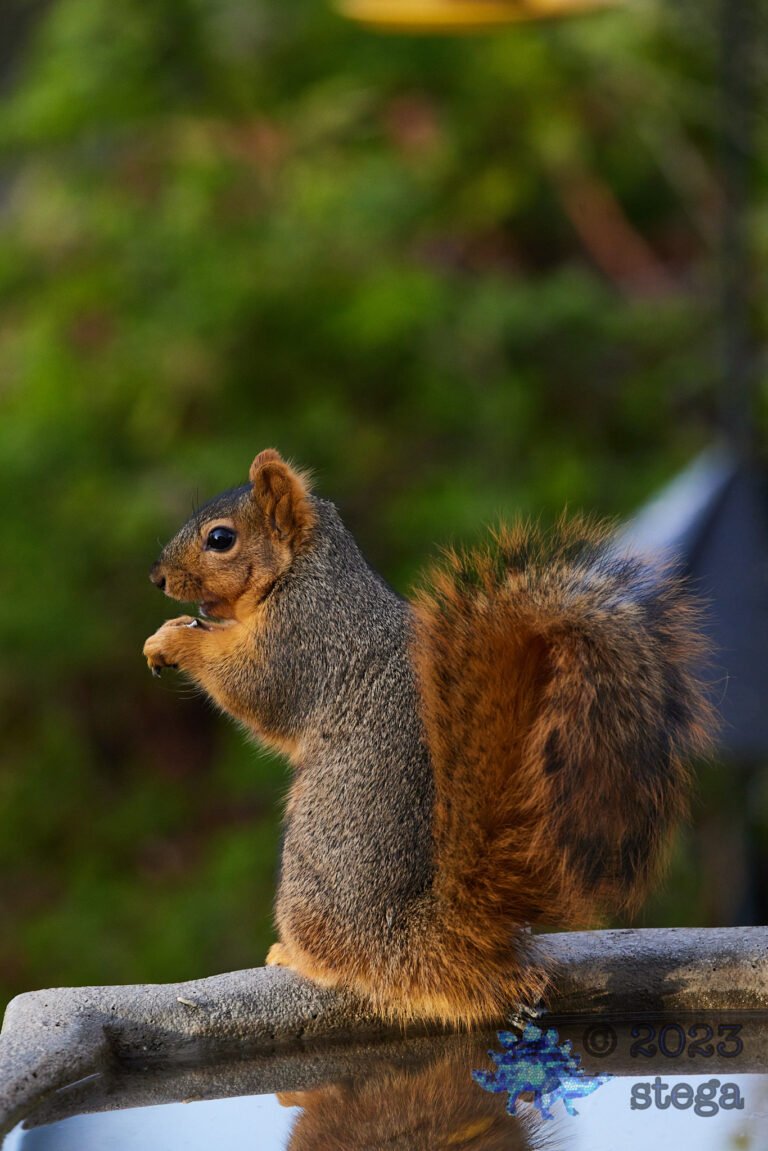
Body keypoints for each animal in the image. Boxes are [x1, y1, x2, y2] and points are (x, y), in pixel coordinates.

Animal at [143, 448, 714, 1027]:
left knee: (345, 960)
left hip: (316, 870)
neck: (305, 573)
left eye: (220, 538)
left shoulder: (304, 638)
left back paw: (294, 956)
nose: (157, 578)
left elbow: (254, 688)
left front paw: (171, 641)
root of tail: (430, 938)